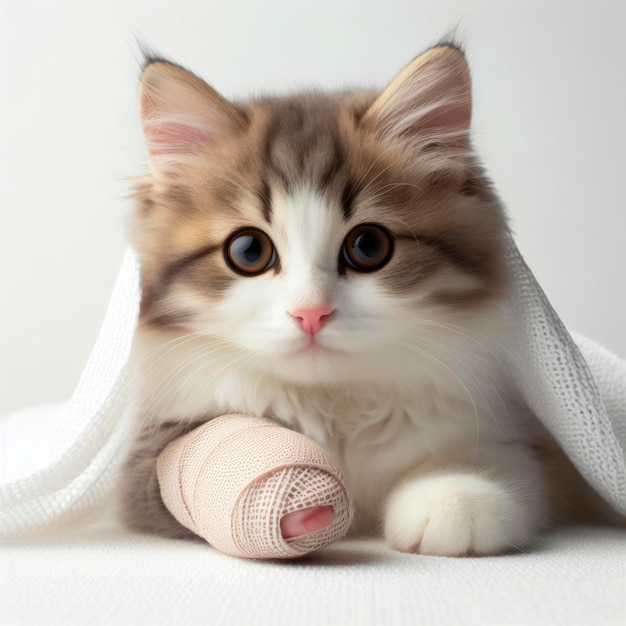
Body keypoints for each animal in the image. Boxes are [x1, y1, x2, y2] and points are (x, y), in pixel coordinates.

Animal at [120, 42, 620, 552]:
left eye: (368, 246)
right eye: (249, 251)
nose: (311, 313)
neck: (338, 409)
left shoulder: (517, 431)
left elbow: (501, 462)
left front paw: (453, 498)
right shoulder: (146, 466)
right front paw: (293, 502)